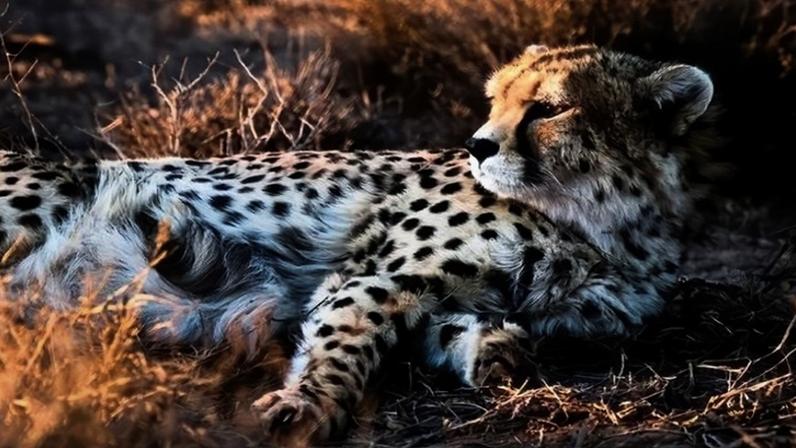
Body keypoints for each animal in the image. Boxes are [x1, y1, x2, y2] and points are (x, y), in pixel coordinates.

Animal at [0, 44, 715, 445]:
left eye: (548, 108)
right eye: (495, 100)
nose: (478, 144)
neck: (603, 227)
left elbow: (469, 326)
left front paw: (498, 349)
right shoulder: (375, 275)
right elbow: (348, 338)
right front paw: (307, 406)